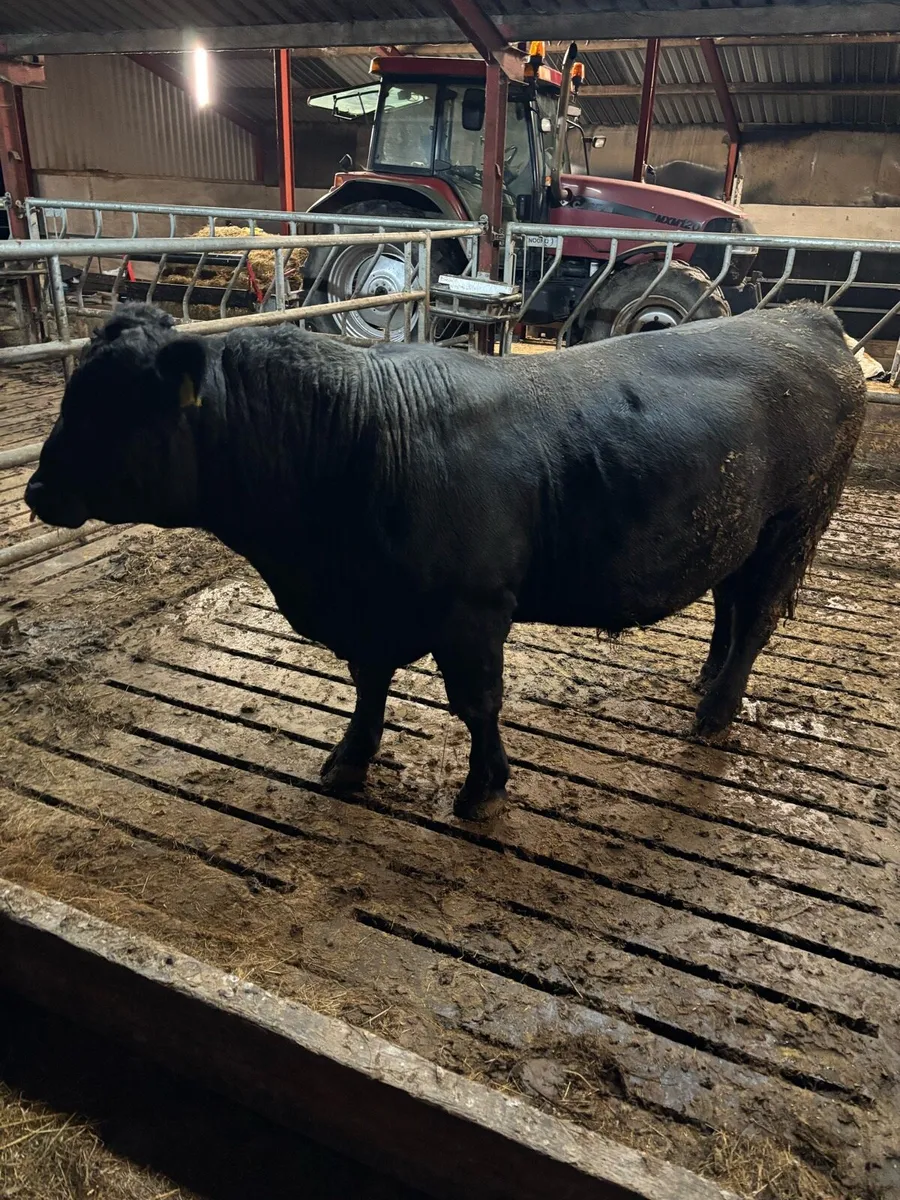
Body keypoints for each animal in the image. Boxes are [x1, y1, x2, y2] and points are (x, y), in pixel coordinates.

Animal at [25, 302, 866, 821]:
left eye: (109, 406)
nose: (34, 490)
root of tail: (806, 316)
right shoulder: (370, 611)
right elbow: (368, 686)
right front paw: (348, 761)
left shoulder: (474, 609)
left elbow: (477, 704)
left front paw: (484, 791)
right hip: (737, 532)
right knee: (729, 605)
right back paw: (706, 682)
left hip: (796, 523)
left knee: (757, 617)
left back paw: (714, 715)